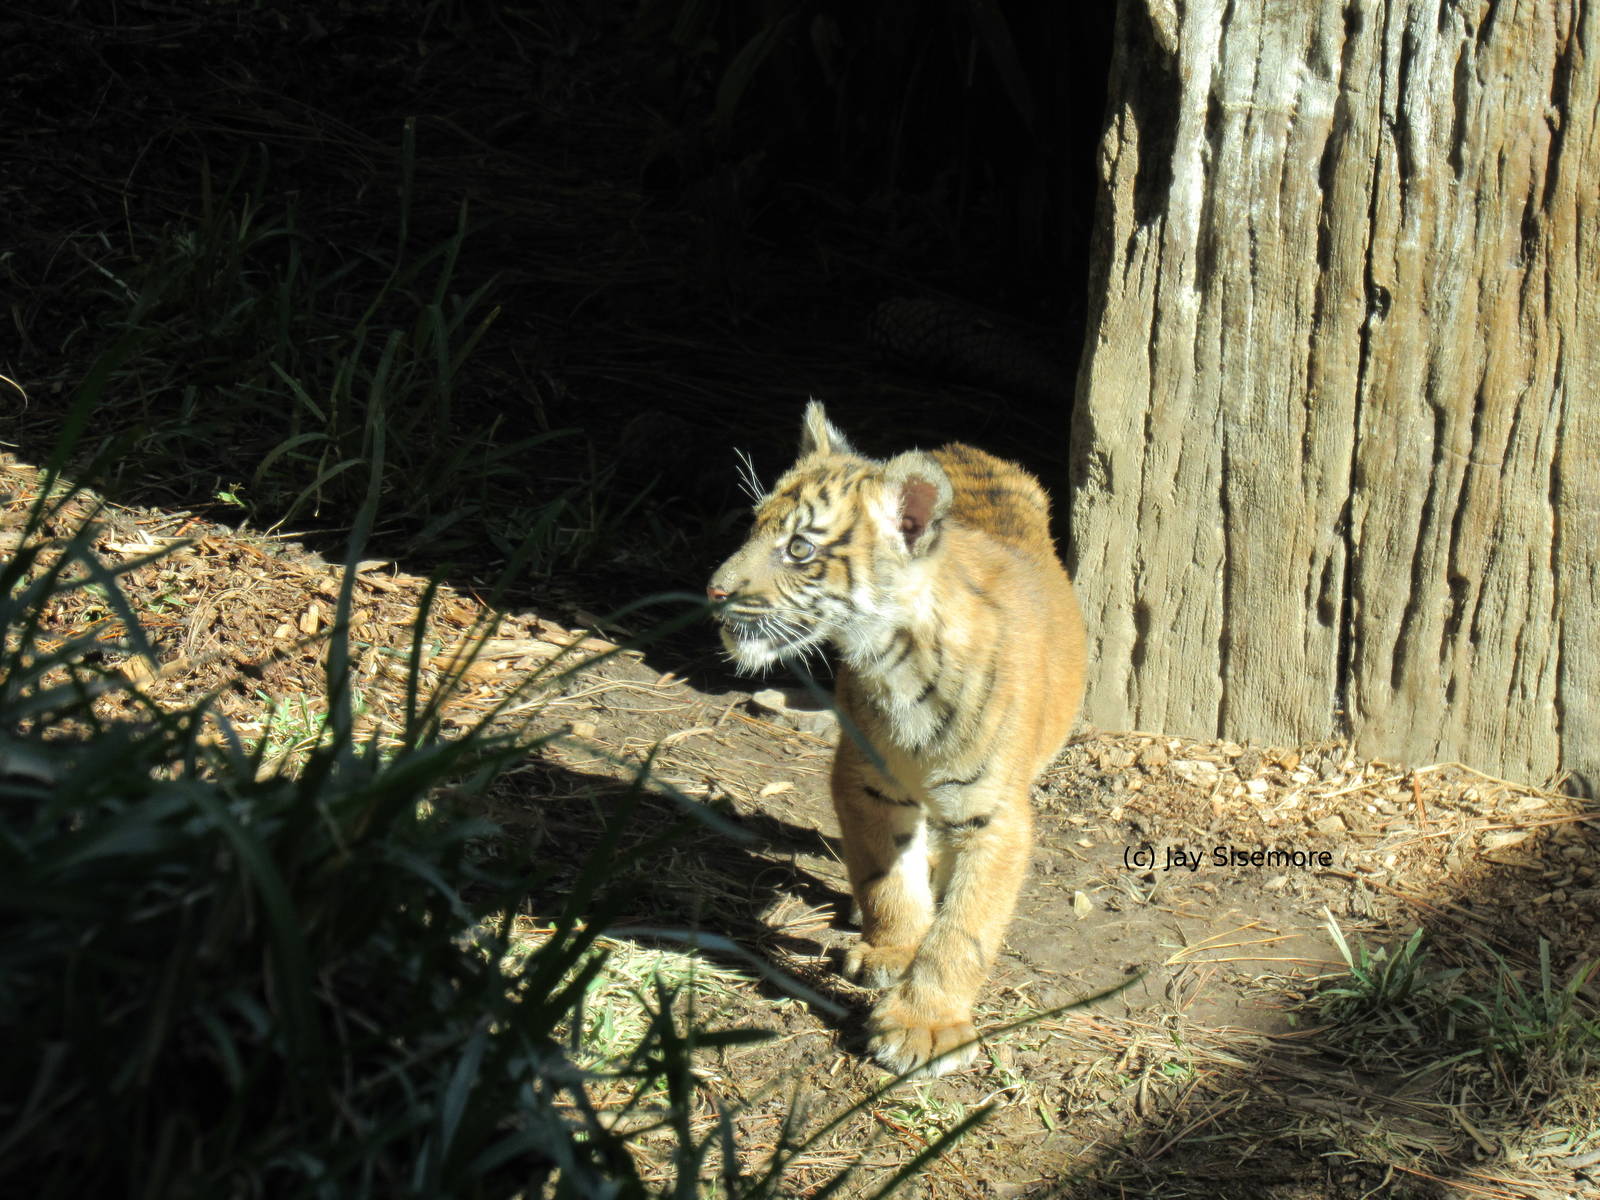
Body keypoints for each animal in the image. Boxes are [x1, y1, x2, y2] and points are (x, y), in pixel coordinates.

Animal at [708, 402, 1087, 1077]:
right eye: (754, 528)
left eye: (799, 548)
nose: (715, 591)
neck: (896, 661)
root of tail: (963, 447)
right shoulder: (864, 782)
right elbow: (886, 879)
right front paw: (893, 950)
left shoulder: (996, 815)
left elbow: (966, 927)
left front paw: (924, 1025)